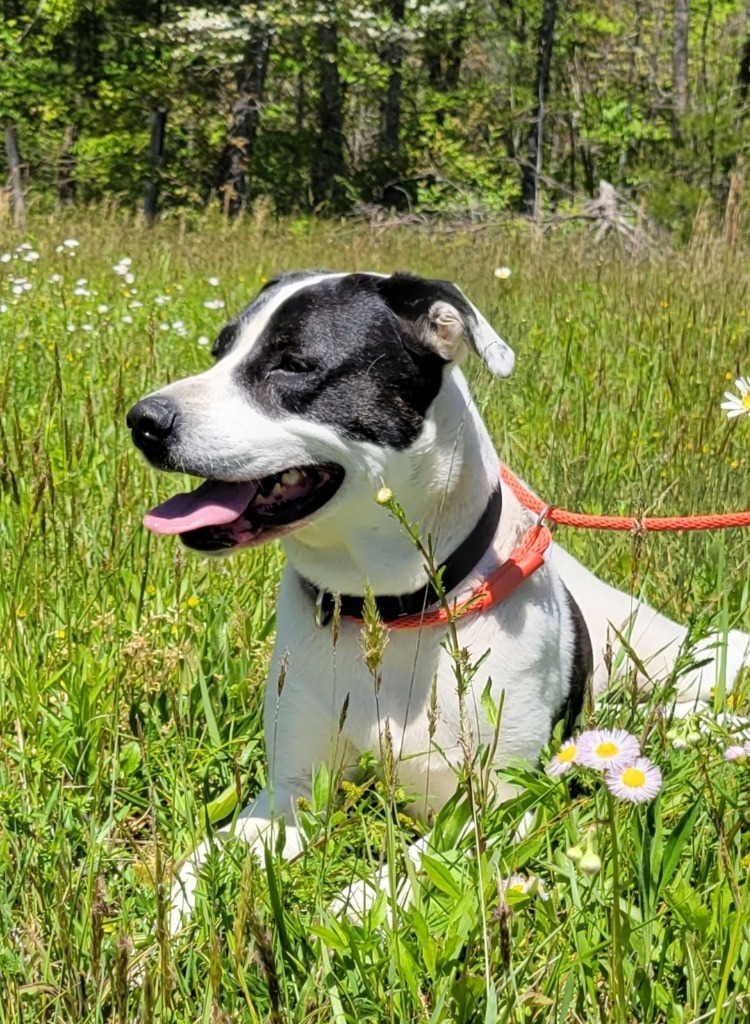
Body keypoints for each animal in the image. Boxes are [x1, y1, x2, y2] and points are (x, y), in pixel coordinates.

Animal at [129, 272, 750, 929]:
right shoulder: (292, 788)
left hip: (695, 659)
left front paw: (352, 906)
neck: (389, 610)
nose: (142, 420)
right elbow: (213, 851)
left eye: (293, 363)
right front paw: (173, 919)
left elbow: (420, 860)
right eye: (219, 351)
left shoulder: (503, 804)